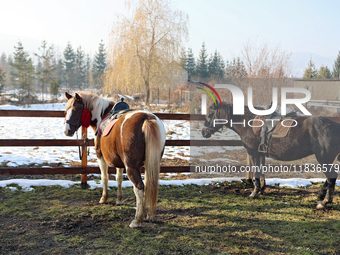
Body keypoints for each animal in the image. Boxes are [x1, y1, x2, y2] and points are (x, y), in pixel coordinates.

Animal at [63, 91, 166, 227]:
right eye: (66, 110)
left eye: (76, 109)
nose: (67, 131)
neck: (103, 114)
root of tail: (146, 118)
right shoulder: (119, 162)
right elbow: (119, 179)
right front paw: (119, 199)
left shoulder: (100, 156)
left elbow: (105, 177)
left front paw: (104, 198)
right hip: (149, 164)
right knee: (147, 186)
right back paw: (145, 214)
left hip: (131, 167)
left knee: (139, 187)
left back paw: (137, 220)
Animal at [203, 101, 338, 209]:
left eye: (210, 114)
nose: (204, 132)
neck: (248, 122)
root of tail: (336, 126)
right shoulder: (260, 154)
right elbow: (262, 171)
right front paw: (262, 189)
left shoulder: (253, 153)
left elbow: (257, 172)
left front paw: (255, 192)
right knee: (330, 178)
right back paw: (320, 197)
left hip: (323, 158)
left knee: (331, 177)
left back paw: (324, 202)